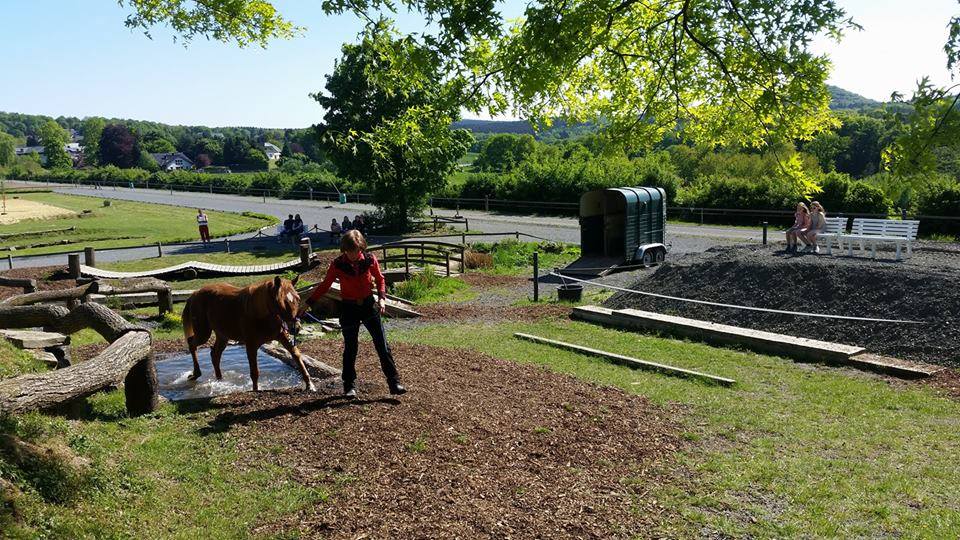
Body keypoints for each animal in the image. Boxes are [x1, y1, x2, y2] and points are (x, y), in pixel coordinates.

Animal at [182, 276, 314, 390]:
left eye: (298, 299)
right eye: (280, 301)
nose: (296, 328)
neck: (260, 314)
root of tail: (195, 294)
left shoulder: (282, 337)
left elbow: (296, 355)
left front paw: (309, 385)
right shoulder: (251, 345)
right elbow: (254, 372)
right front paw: (256, 391)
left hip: (223, 336)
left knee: (215, 355)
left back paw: (219, 379)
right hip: (203, 333)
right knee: (192, 343)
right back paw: (196, 374)